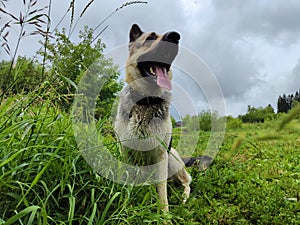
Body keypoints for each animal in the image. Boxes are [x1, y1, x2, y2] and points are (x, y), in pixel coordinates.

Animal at [113, 24, 193, 211]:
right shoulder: (125, 152)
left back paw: (184, 198)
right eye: (150, 37)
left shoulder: (161, 156)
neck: (146, 101)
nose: (175, 36)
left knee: (187, 181)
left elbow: (162, 191)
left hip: (172, 159)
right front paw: (126, 204)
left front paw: (164, 213)